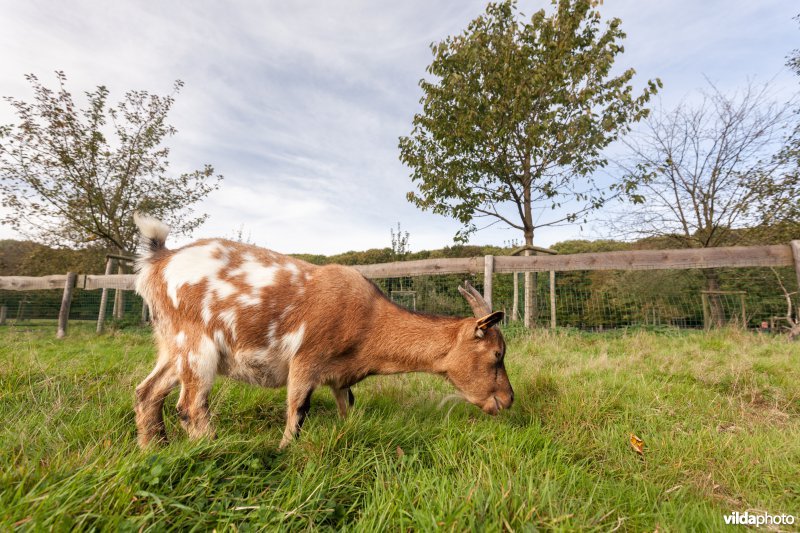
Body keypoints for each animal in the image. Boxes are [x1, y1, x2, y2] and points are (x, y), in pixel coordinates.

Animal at [133, 214, 512, 446]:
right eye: (497, 354)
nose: (508, 400)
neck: (370, 320)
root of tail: (160, 261)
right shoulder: (306, 359)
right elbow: (298, 410)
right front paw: (284, 452)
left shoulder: (339, 377)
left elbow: (348, 409)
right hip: (197, 344)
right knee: (190, 405)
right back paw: (212, 448)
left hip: (172, 346)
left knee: (147, 392)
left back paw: (154, 449)